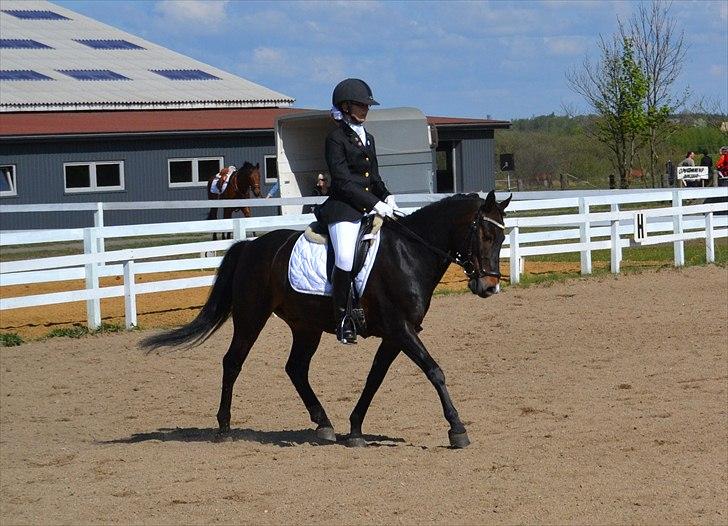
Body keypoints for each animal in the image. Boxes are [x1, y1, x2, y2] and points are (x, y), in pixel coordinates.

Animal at [139, 193, 510, 450]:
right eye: (486, 236)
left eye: (503, 238)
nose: (490, 287)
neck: (410, 252)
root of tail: (249, 246)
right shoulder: (400, 328)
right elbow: (434, 371)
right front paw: (457, 429)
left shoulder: (396, 334)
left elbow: (374, 378)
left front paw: (355, 429)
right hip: (251, 316)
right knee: (233, 362)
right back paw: (225, 428)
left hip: (306, 326)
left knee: (296, 368)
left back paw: (323, 424)